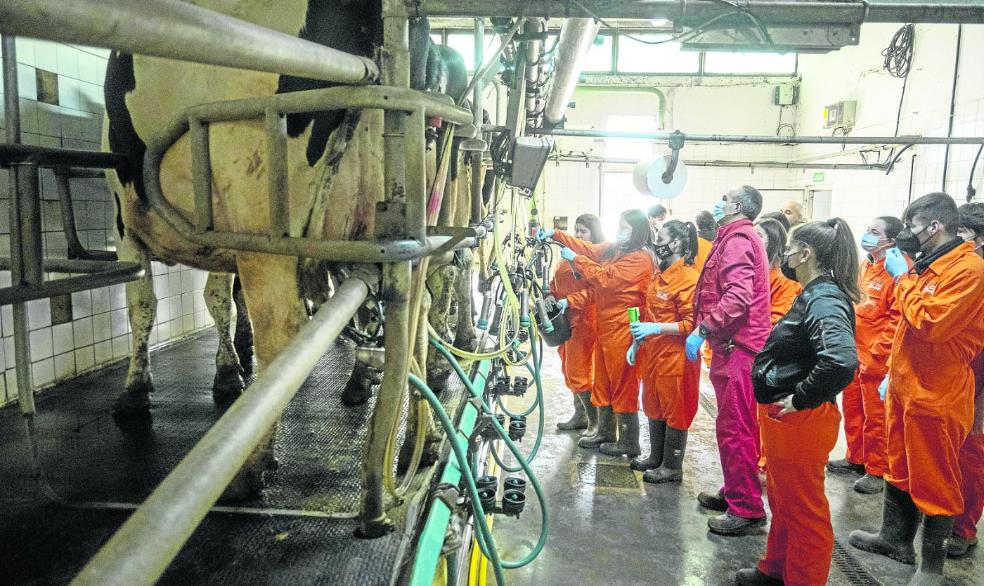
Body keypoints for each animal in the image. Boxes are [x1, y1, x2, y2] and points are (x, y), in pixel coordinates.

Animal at [104, 1, 476, 498]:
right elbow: (217, 298)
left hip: (260, 217)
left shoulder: (127, 224)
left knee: (282, 333)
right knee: (418, 315)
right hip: (409, 231)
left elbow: (142, 305)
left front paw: (134, 391)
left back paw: (250, 466)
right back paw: (420, 439)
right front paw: (226, 370)